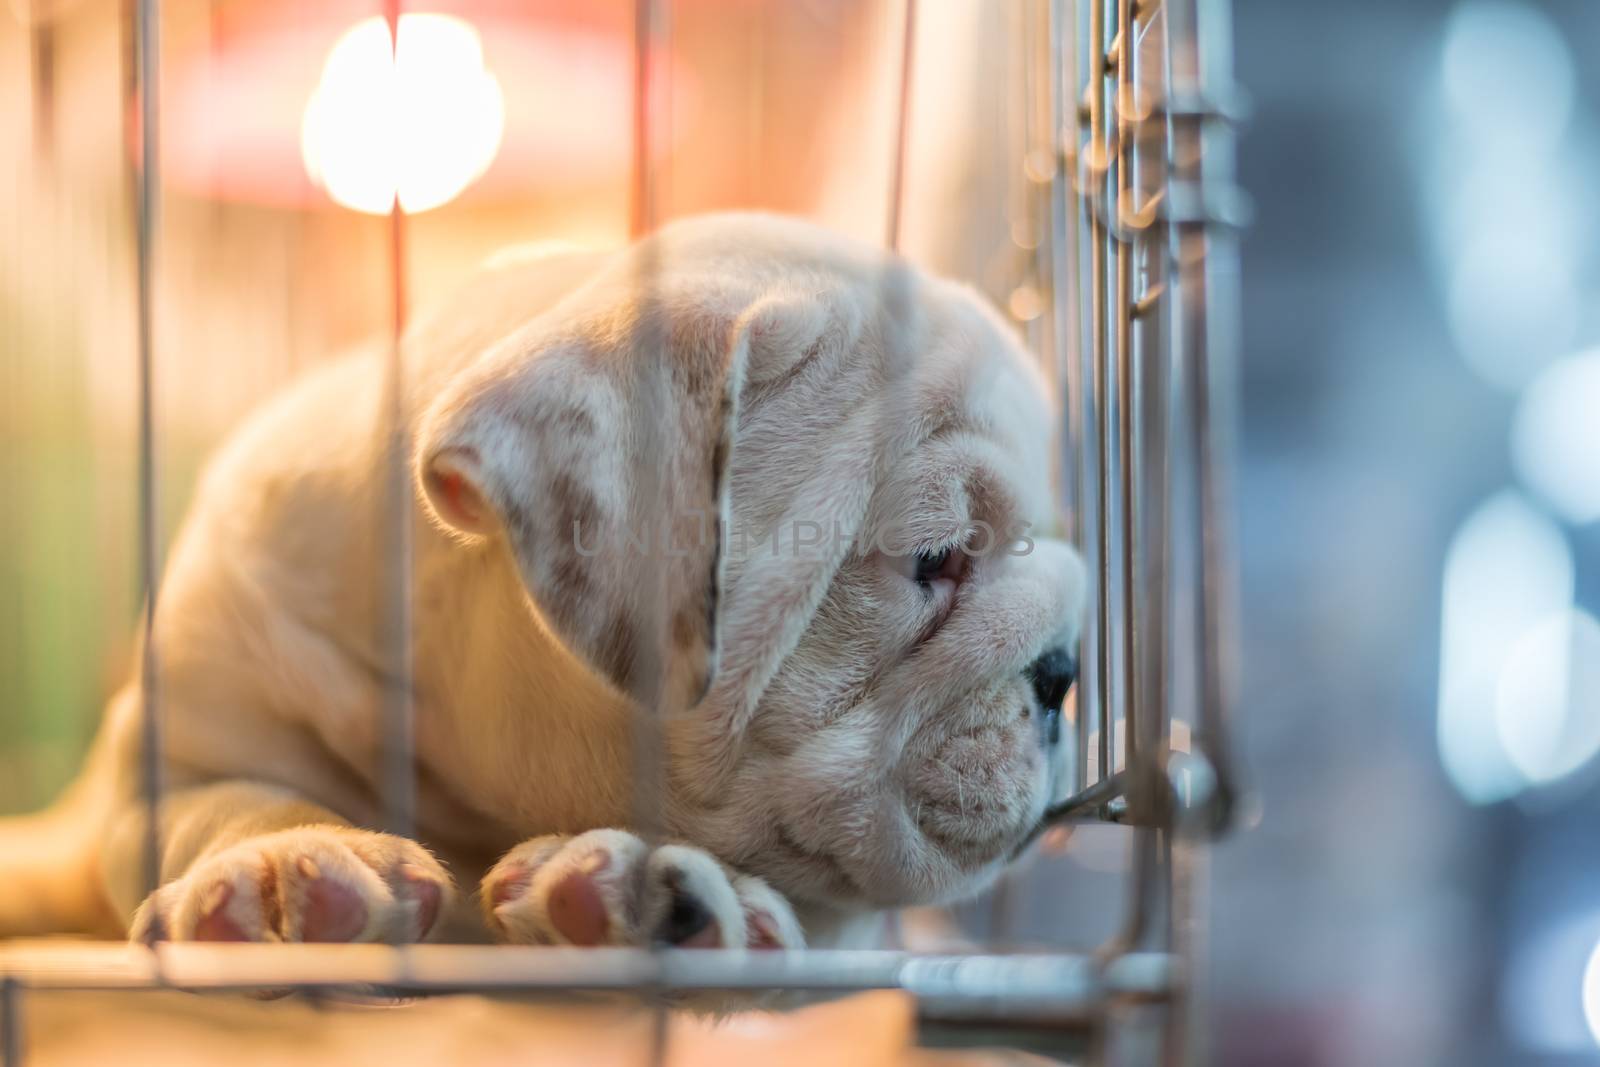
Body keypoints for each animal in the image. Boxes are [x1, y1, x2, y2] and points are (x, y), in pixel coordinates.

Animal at [0, 214, 1088, 953]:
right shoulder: (184, 730)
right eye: (935, 557)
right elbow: (223, 796)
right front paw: (282, 865)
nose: (1064, 672)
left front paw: (657, 886)